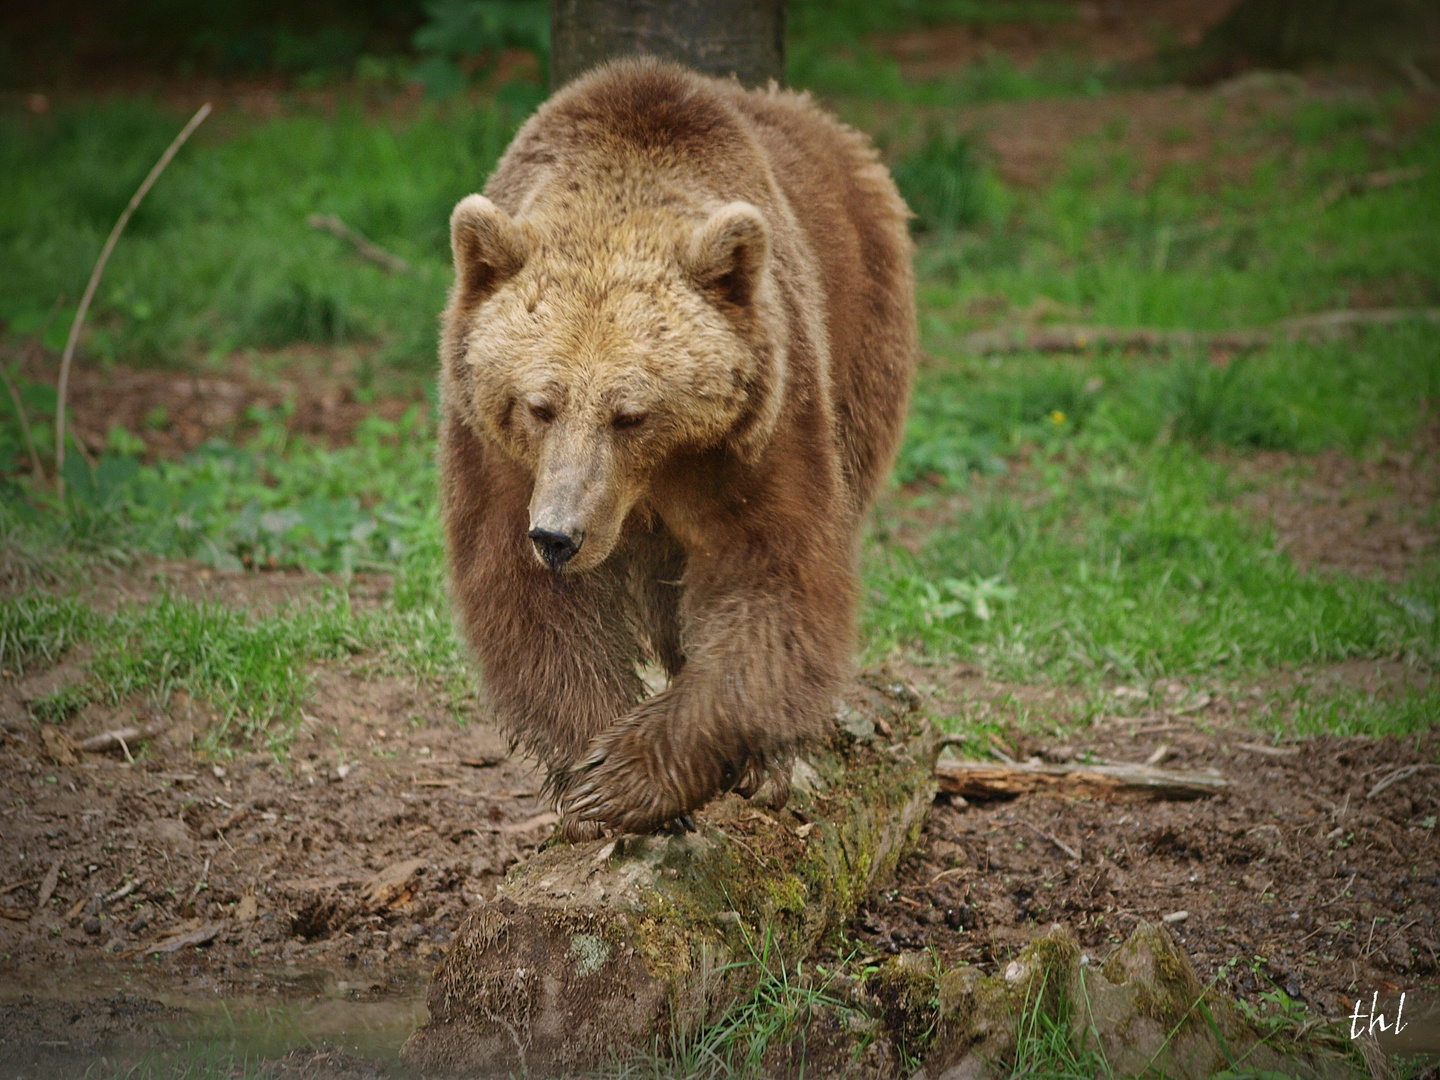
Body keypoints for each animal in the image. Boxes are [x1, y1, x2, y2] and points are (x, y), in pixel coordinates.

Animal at [432, 59, 915, 835]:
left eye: (631, 414)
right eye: (540, 404)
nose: (560, 536)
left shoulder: (758, 429)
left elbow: (769, 580)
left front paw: (629, 774)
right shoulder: (499, 455)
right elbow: (530, 601)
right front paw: (588, 774)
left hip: (865, 331)